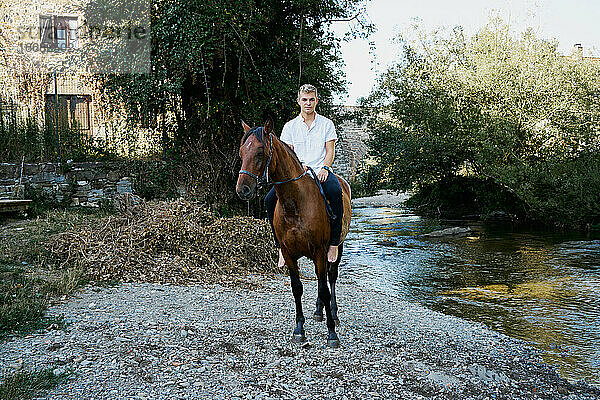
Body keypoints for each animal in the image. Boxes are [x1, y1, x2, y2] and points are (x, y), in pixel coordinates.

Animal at [236, 119, 352, 346]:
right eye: (241, 152)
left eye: (260, 152)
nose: (242, 190)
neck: (295, 203)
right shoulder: (289, 253)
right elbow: (297, 288)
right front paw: (299, 330)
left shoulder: (319, 252)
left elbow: (325, 289)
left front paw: (331, 333)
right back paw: (319, 312)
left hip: (337, 247)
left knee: (331, 278)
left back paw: (333, 314)